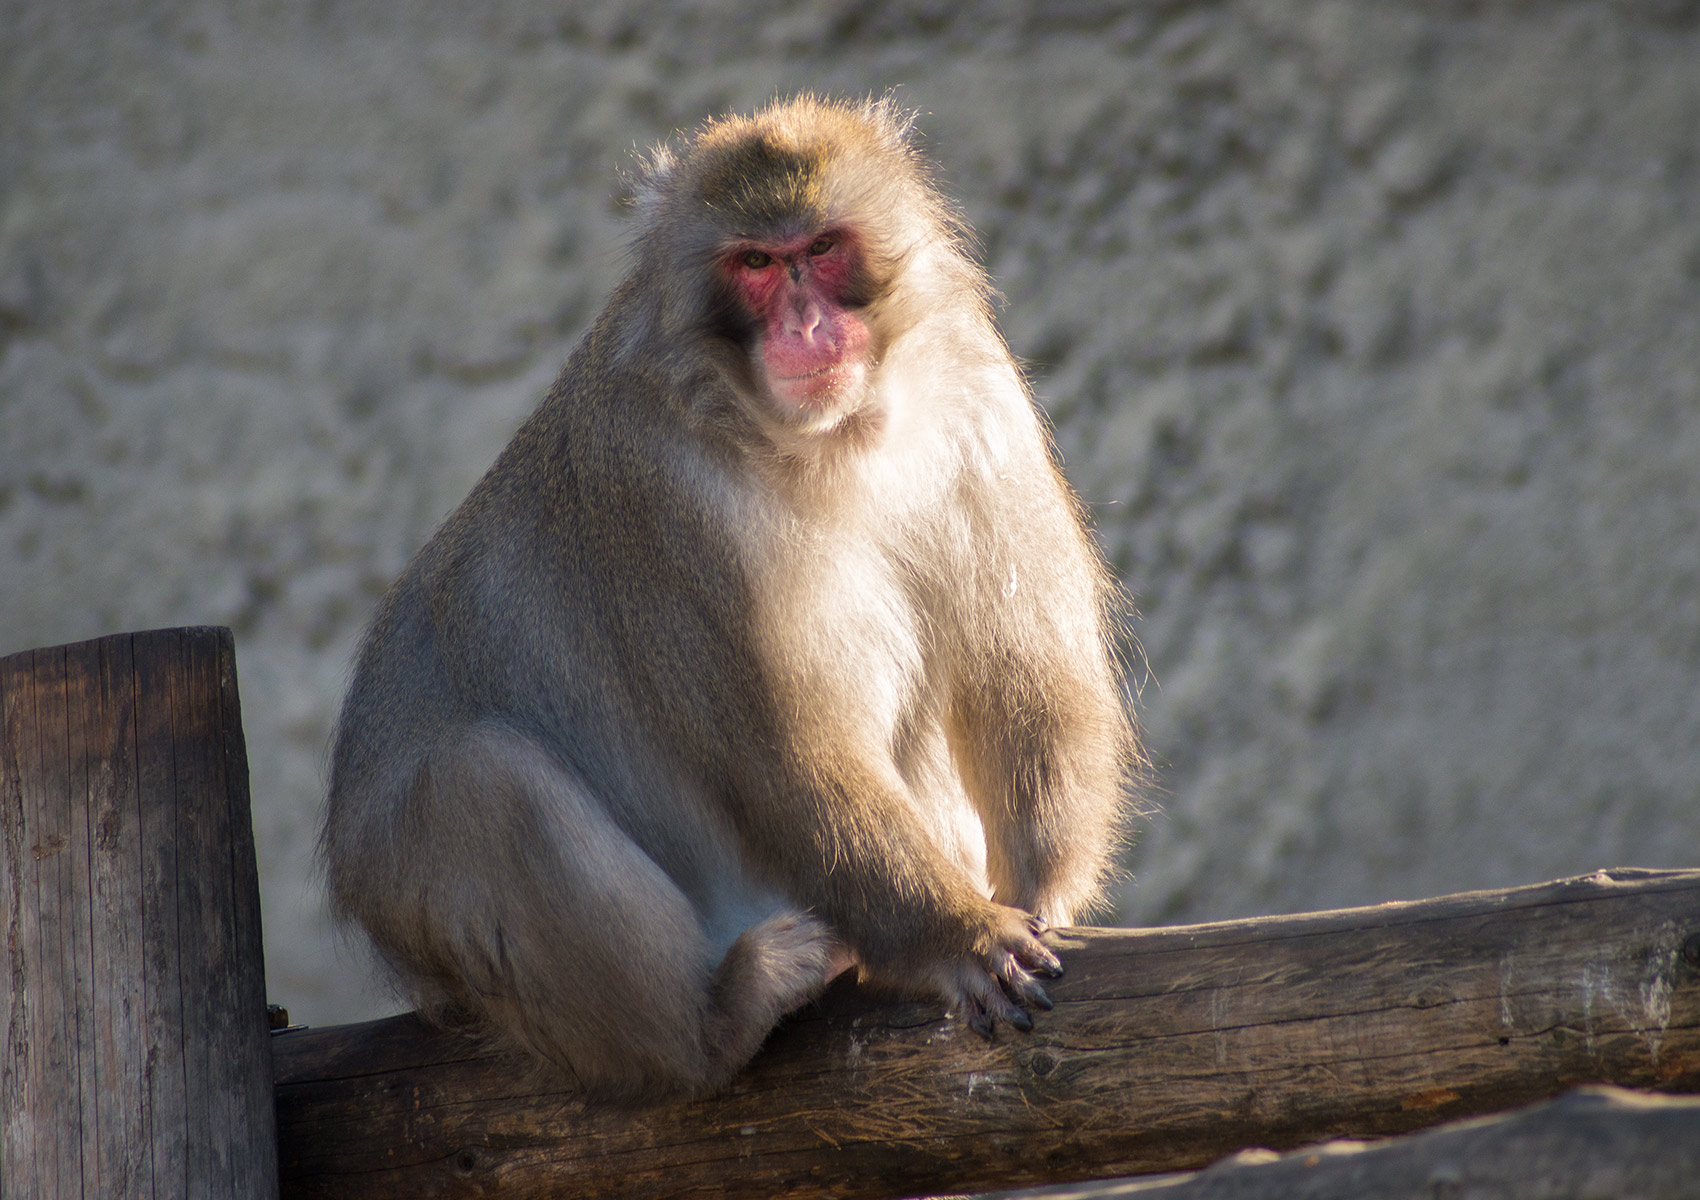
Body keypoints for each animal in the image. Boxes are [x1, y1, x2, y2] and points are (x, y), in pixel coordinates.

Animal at [321, 93, 1142, 1101]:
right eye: (753, 264)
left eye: (820, 248)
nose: (807, 327)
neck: (833, 440)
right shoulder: (663, 493)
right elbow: (785, 756)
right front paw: (960, 934)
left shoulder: (972, 386)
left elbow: (1024, 665)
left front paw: (1041, 892)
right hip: (420, 895)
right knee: (478, 782)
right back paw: (712, 1025)